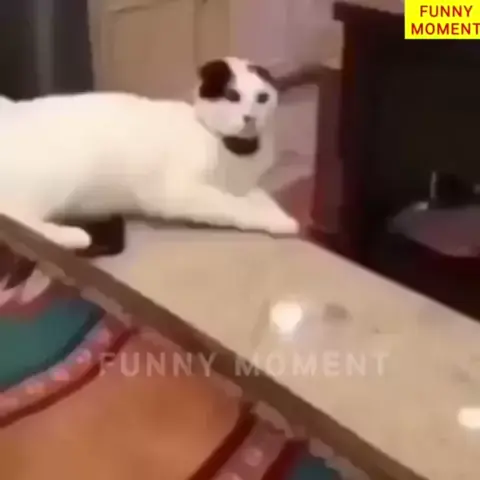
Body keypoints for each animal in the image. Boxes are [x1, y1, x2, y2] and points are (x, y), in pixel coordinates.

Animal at [0, 57, 299, 250]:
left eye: (262, 98)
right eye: (232, 95)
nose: (250, 117)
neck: (239, 152)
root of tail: (11, 110)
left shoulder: (246, 186)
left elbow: (263, 200)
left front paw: (282, 218)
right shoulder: (178, 192)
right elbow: (234, 207)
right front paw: (270, 220)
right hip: (59, 176)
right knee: (15, 214)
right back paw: (72, 237)